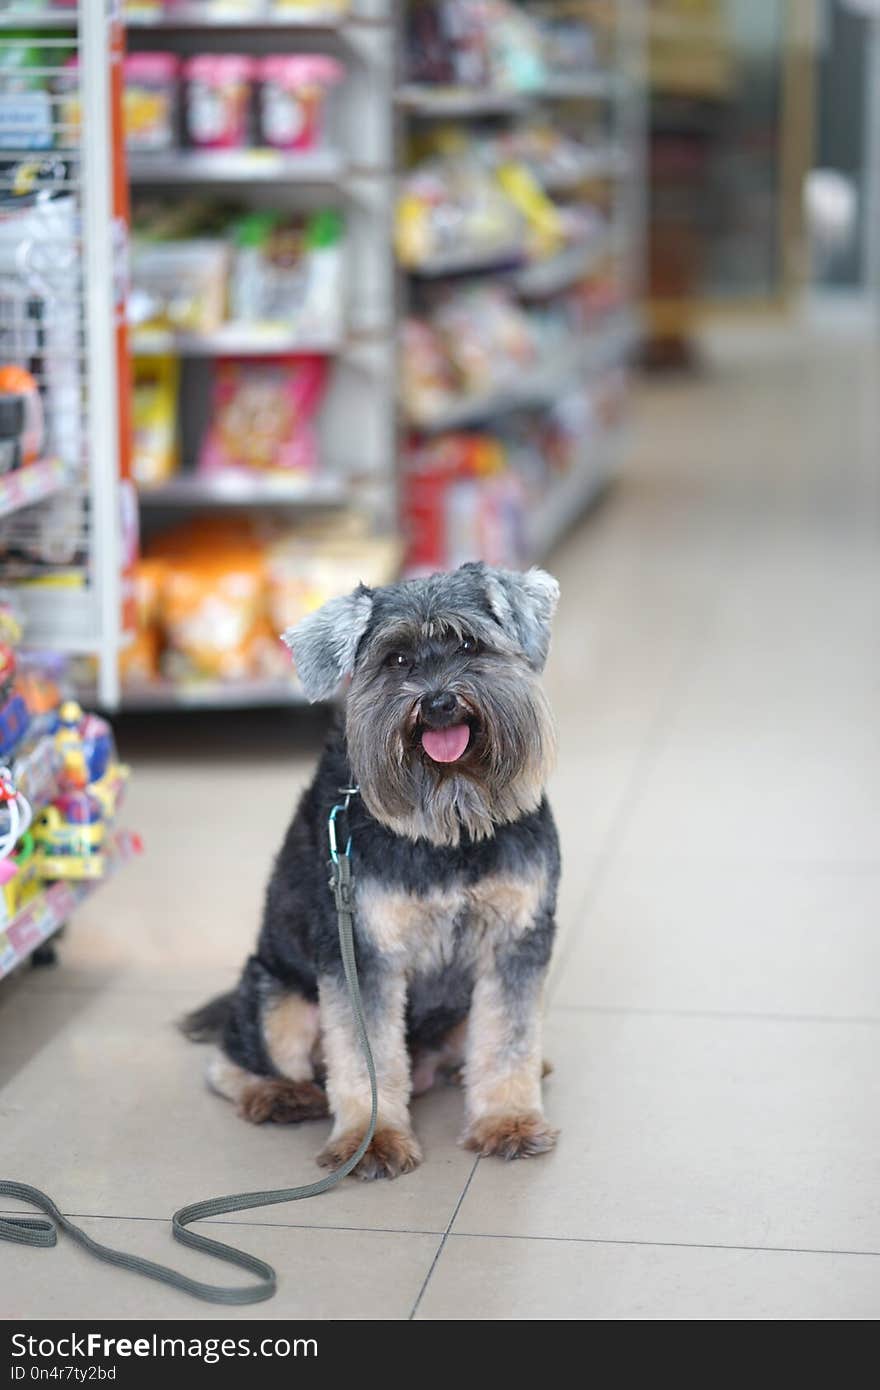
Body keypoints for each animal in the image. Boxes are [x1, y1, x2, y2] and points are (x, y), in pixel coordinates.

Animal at [182, 558, 558, 1178]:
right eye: (395, 660)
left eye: (469, 643)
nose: (439, 703)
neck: (448, 823)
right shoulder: (362, 952)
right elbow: (366, 1054)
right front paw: (373, 1137)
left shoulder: (516, 939)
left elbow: (509, 1038)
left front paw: (507, 1120)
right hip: (277, 998)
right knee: (233, 1062)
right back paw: (278, 1096)